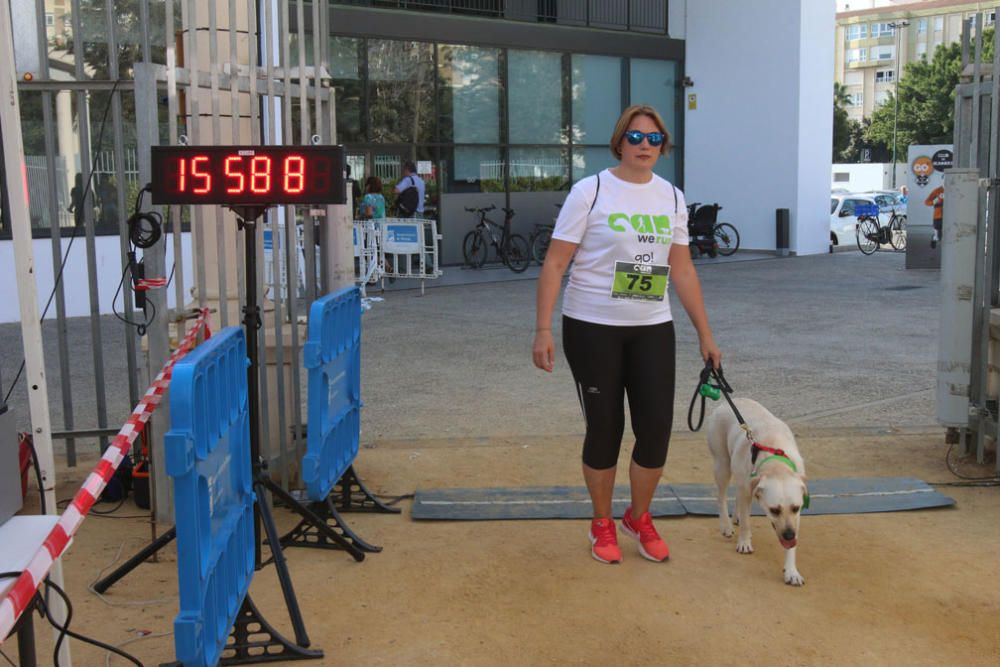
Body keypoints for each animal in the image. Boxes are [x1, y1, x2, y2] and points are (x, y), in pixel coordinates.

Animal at [708, 400, 808, 588]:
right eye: (774, 510)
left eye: (796, 508)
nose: (789, 535)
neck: (775, 464)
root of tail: (729, 402)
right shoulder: (746, 491)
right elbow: (746, 523)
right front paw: (744, 543)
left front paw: (792, 571)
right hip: (722, 465)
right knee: (721, 496)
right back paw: (726, 525)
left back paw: (736, 517)